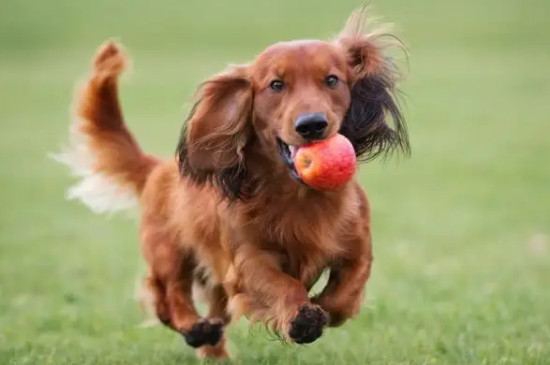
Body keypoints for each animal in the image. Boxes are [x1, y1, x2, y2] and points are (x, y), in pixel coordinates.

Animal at [57, 7, 410, 358]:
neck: (299, 197)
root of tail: (157, 168)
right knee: (167, 295)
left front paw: (321, 307)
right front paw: (302, 317)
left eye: (332, 79)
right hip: (168, 251)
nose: (311, 125)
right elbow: (282, 284)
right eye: (276, 84)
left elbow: (344, 296)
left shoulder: (358, 248)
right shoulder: (247, 260)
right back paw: (194, 327)